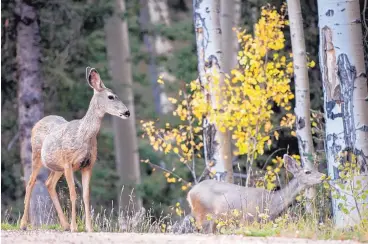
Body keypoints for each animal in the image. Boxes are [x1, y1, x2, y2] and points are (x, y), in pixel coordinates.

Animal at [19, 66, 131, 233]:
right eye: (111, 97)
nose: (127, 112)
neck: (83, 135)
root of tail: (37, 122)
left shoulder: (88, 165)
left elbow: (86, 195)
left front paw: (89, 228)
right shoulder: (68, 163)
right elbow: (73, 194)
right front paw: (75, 227)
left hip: (56, 167)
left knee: (48, 183)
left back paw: (64, 225)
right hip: (36, 155)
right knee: (30, 183)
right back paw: (23, 224)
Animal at [187, 154, 324, 233]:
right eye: (307, 172)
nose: (323, 176)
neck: (273, 201)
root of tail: (190, 193)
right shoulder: (249, 219)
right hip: (204, 213)